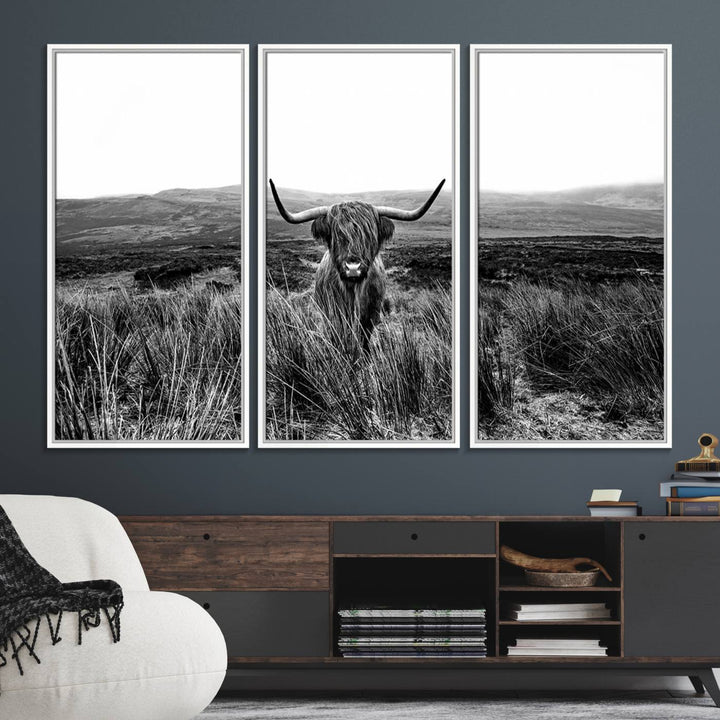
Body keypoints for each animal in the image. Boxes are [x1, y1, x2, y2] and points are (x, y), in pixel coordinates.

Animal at [270, 179, 444, 350]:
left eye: (369, 235)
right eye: (336, 235)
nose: (353, 268)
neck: (352, 291)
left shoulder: (371, 315)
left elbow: (363, 338)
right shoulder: (332, 314)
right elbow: (338, 337)